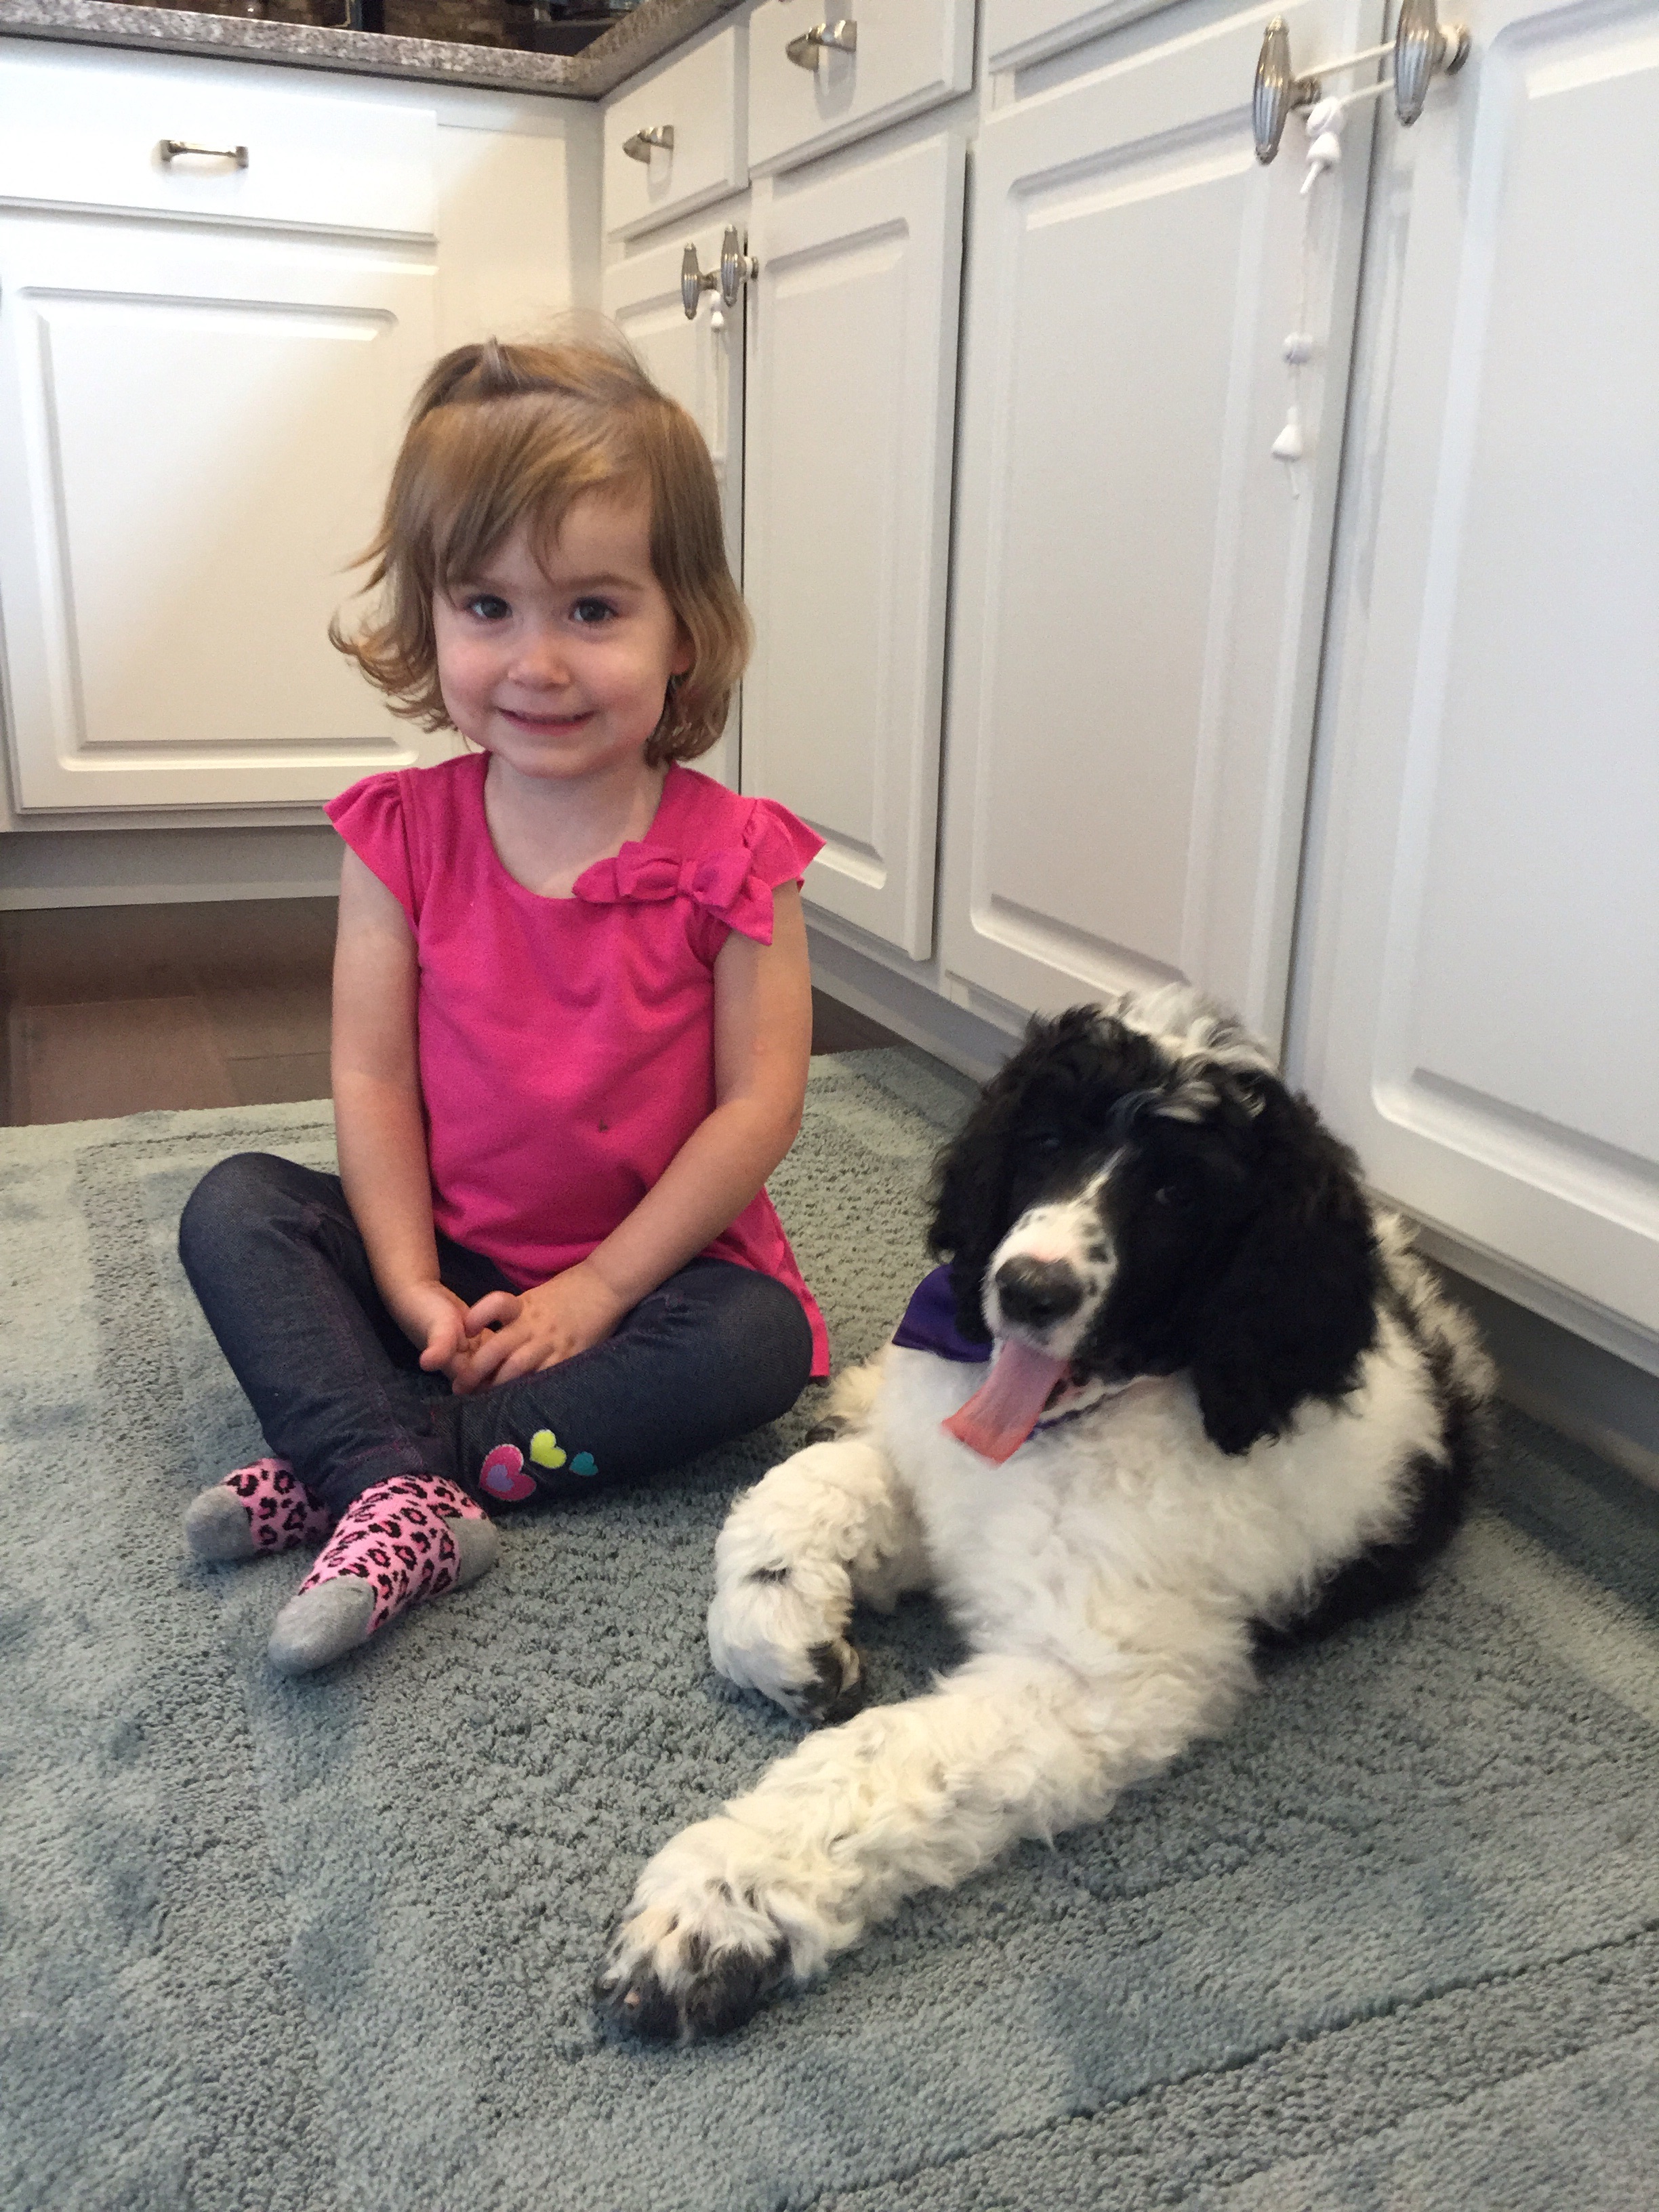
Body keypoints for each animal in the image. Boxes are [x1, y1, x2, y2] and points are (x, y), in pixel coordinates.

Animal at [594, 986, 1494, 2042]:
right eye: (1049, 1139)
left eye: (1178, 1195)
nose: (1029, 1290)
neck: (1062, 1434)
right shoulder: (938, 1481)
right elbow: (793, 1500)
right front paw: (794, 1643)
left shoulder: (1095, 1680)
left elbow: (881, 1754)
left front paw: (716, 1909)